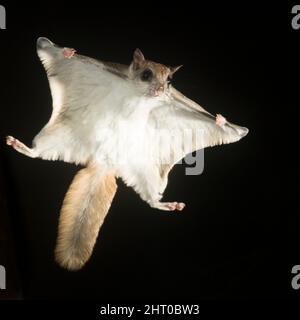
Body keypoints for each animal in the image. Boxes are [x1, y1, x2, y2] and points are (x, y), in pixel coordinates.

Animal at [5, 38, 248, 272]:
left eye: (169, 82)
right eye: (146, 74)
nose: (160, 90)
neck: (139, 98)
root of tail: (104, 164)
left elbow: (214, 119)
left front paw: (221, 121)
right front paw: (66, 52)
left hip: (147, 172)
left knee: (151, 201)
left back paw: (167, 204)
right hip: (60, 135)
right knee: (36, 153)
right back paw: (20, 146)